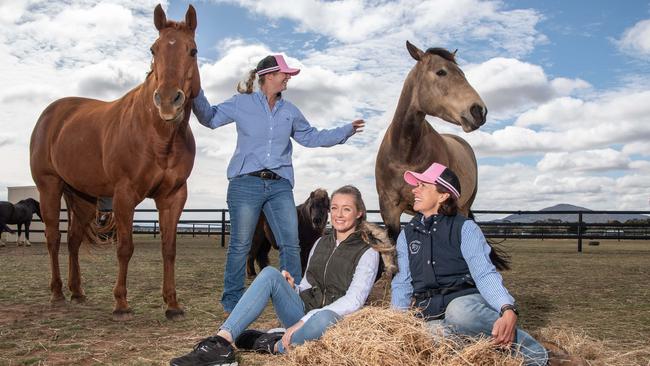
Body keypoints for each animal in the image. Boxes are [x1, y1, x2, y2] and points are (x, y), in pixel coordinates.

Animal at [28, 5, 200, 320]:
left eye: (192, 51)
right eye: (154, 49)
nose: (167, 101)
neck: (158, 135)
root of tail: (52, 114)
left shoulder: (173, 196)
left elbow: (169, 249)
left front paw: (172, 304)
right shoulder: (124, 195)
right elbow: (125, 248)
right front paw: (121, 303)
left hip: (82, 197)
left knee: (72, 240)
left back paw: (77, 292)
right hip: (49, 187)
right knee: (53, 238)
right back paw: (57, 293)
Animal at [372, 43, 484, 242]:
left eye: (462, 74)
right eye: (441, 72)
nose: (479, 111)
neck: (405, 154)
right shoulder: (389, 210)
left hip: (462, 207)